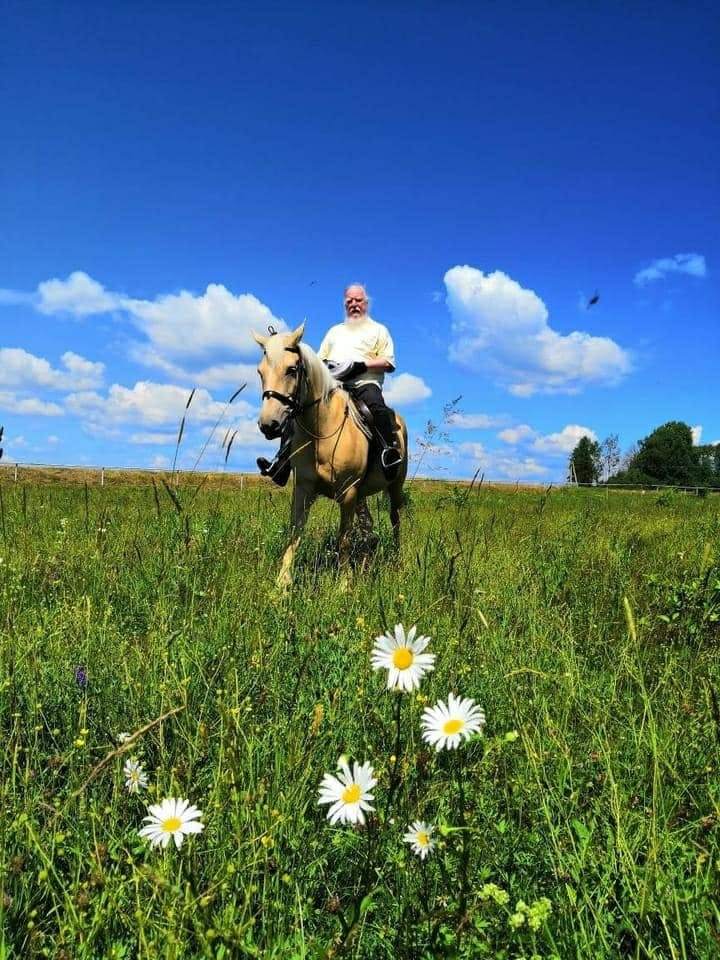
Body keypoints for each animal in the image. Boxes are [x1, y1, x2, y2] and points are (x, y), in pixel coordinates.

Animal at [255, 324, 408, 584]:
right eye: (260, 372)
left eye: (292, 369)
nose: (269, 425)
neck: (321, 431)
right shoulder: (303, 489)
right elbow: (295, 534)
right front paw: (282, 584)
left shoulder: (347, 493)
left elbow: (343, 538)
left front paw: (344, 584)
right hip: (362, 495)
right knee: (369, 529)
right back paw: (366, 566)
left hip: (394, 486)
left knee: (395, 520)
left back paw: (397, 563)